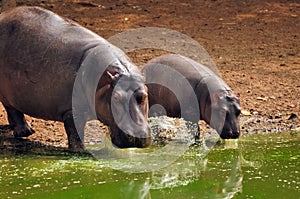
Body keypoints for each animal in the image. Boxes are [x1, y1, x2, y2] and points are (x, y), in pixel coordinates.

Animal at [0, 7, 151, 152]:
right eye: (116, 97)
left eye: (144, 96)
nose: (138, 136)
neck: (103, 81)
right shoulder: (71, 110)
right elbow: (75, 131)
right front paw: (80, 151)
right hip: (7, 93)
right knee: (12, 110)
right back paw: (25, 132)